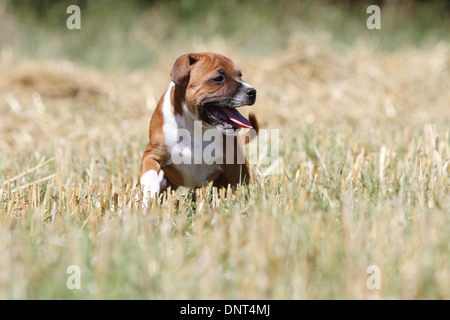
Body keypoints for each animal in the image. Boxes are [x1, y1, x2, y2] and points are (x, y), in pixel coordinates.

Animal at [139, 52, 258, 202]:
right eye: (219, 78)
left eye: (240, 75)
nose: (252, 91)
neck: (195, 127)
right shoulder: (151, 155)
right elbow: (149, 178)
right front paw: (146, 200)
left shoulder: (234, 163)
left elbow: (239, 183)